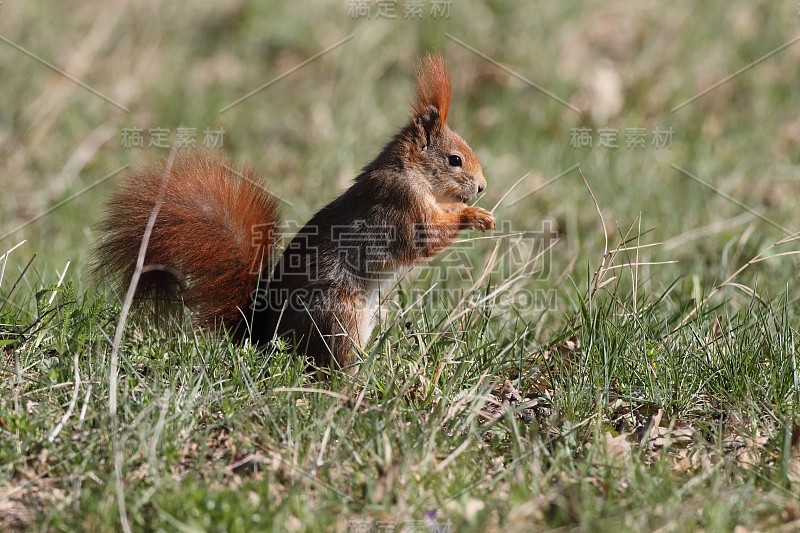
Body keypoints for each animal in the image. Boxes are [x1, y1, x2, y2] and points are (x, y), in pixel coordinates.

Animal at [94, 55, 494, 370]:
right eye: (454, 160)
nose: (481, 187)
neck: (408, 171)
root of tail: (265, 337)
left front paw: (467, 208)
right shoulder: (400, 203)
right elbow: (425, 237)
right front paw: (474, 216)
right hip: (339, 316)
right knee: (332, 362)